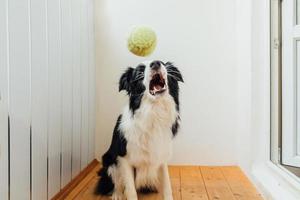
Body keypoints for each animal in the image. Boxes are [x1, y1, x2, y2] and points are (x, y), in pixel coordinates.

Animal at [95, 60, 184, 199]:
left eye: (163, 63)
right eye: (140, 71)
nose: (156, 63)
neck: (154, 112)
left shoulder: (161, 153)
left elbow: (167, 184)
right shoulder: (124, 158)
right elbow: (131, 190)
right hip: (109, 160)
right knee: (115, 183)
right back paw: (117, 194)